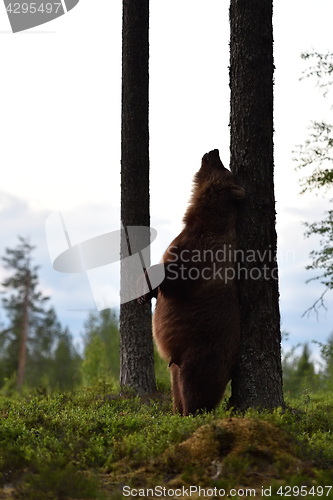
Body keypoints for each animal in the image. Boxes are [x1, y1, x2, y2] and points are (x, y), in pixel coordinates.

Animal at [137, 150, 244, 416]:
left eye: (224, 167)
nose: (214, 151)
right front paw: (144, 295)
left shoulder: (201, 252)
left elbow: (174, 275)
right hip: (177, 364)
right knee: (177, 387)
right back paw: (176, 411)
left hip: (201, 352)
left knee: (194, 386)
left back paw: (191, 413)